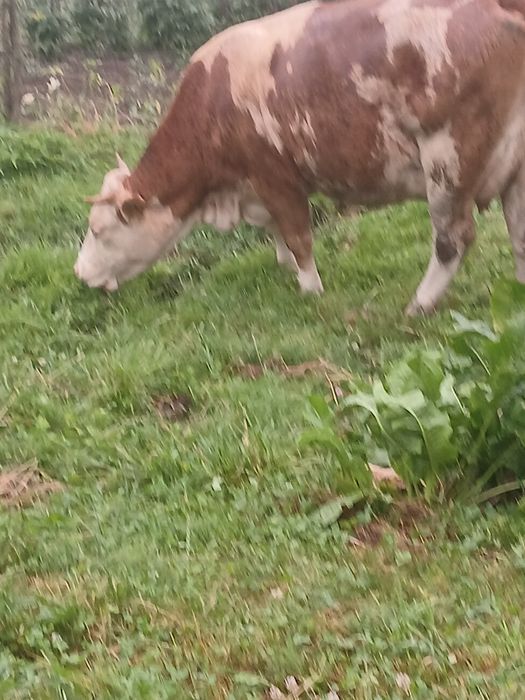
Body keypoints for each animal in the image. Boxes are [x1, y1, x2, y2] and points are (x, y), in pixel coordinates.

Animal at [74, 0, 525, 314]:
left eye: (98, 229)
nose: (79, 273)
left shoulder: (274, 174)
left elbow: (297, 234)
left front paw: (310, 288)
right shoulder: (259, 187)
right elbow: (277, 231)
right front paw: (286, 264)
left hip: (448, 158)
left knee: (453, 238)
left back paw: (419, 305)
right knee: (519, 234)